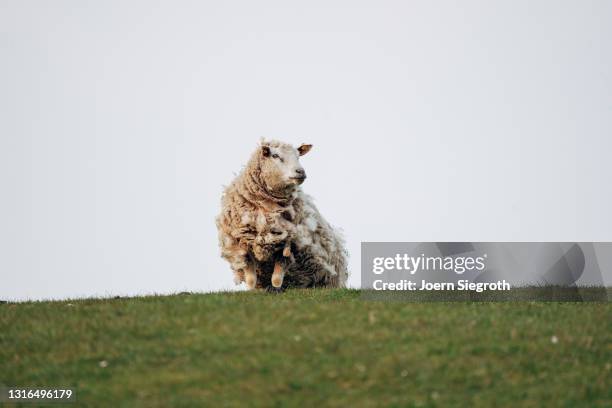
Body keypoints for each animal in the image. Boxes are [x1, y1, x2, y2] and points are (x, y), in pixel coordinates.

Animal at [216, 139, 350, 290]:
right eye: (275, 155)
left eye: (298, 156)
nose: (301, 172)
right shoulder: (242, 242)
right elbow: (250, 279)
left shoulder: (288, 243)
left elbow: (277, 278)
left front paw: (277, 286)